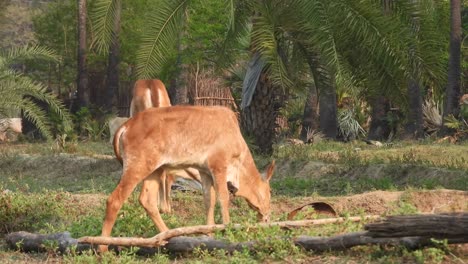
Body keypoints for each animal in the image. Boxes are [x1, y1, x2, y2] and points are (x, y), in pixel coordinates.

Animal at [99, 105, 274, 252]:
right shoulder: (218, 167)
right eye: (269, 191)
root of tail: (126, 126)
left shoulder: (204, 171)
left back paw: (167, 236)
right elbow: (223, 199)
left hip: (155, 170)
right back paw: (103, 247)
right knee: (114, 200)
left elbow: (209, 201)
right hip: (137, 168)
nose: (267, 217)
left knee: (147, 201)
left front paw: (209, 234)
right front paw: (227, 229)